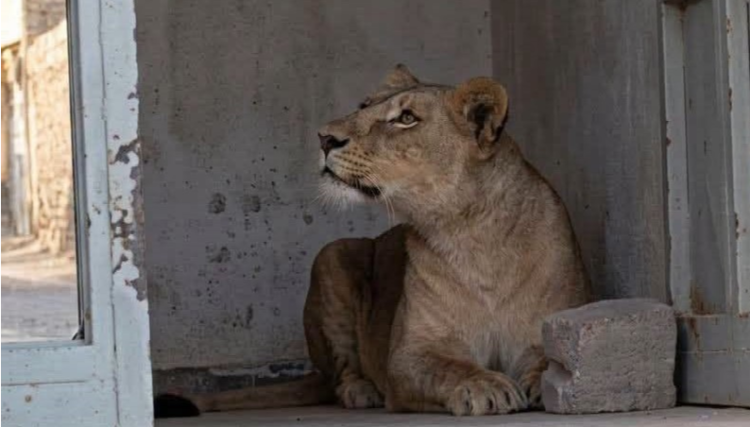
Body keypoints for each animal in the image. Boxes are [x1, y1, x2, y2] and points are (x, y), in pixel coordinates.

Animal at [177, 65, 590, 417]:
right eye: (363, 106)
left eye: (406, 118)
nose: (324, 137)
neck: (470, 231)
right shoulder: (409, 354)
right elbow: (448, 368)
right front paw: (486, 386)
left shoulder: (545, 327)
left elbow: (549, 357)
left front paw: (546, 384)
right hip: (332, 254)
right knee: (339, 375)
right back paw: (362, 391)